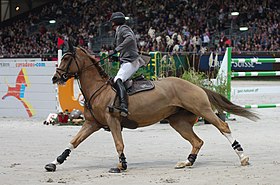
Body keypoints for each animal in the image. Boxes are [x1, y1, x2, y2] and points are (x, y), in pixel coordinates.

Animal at [45, 45, 258, 173]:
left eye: (66, 60)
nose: (55, 78)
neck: (99, 89)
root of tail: (194, 85)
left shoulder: (113, 122)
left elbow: (119, 144)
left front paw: (121, 165)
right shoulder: (91, 123)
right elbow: (73, 142)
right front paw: (54, 163)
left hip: (203, 111)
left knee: (223, 127)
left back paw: (243, 157)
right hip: (178, 122)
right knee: (197, 141)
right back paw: (187, 162)